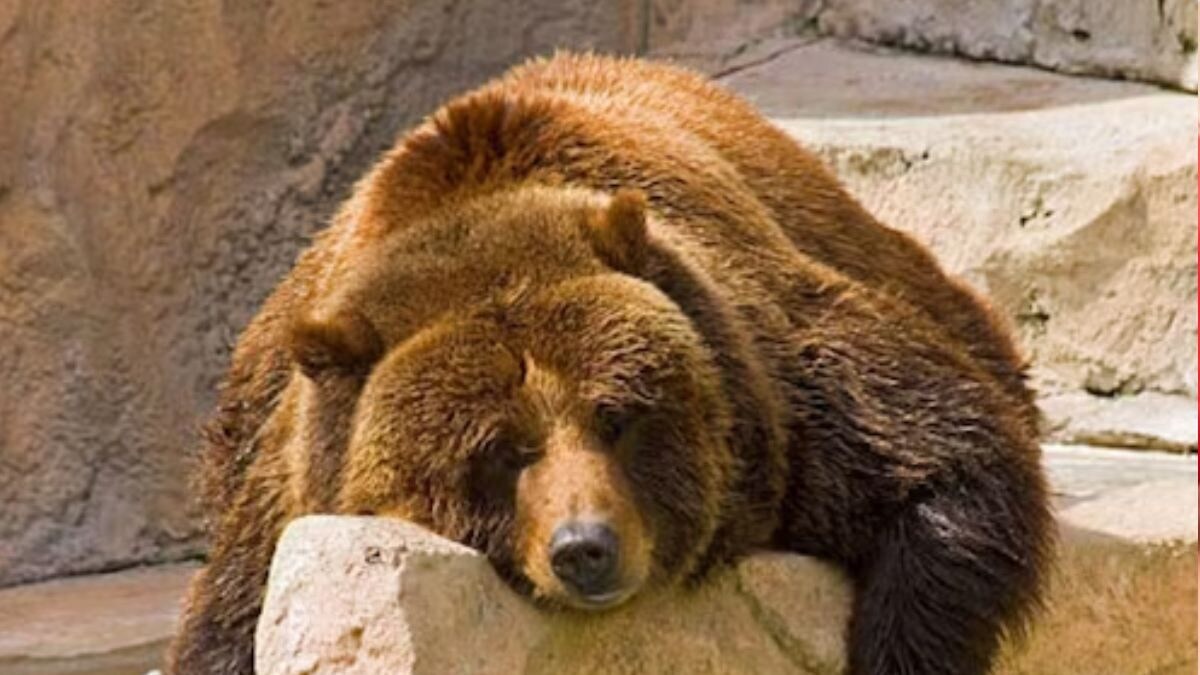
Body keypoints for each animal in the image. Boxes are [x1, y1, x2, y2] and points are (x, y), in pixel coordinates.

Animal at [168, 52, 1052, 675]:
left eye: (617, 416)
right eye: (500, 449)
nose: (585, 547)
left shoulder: (784, 386)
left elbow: (947, 460)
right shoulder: (286, 492)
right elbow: (230, 625)